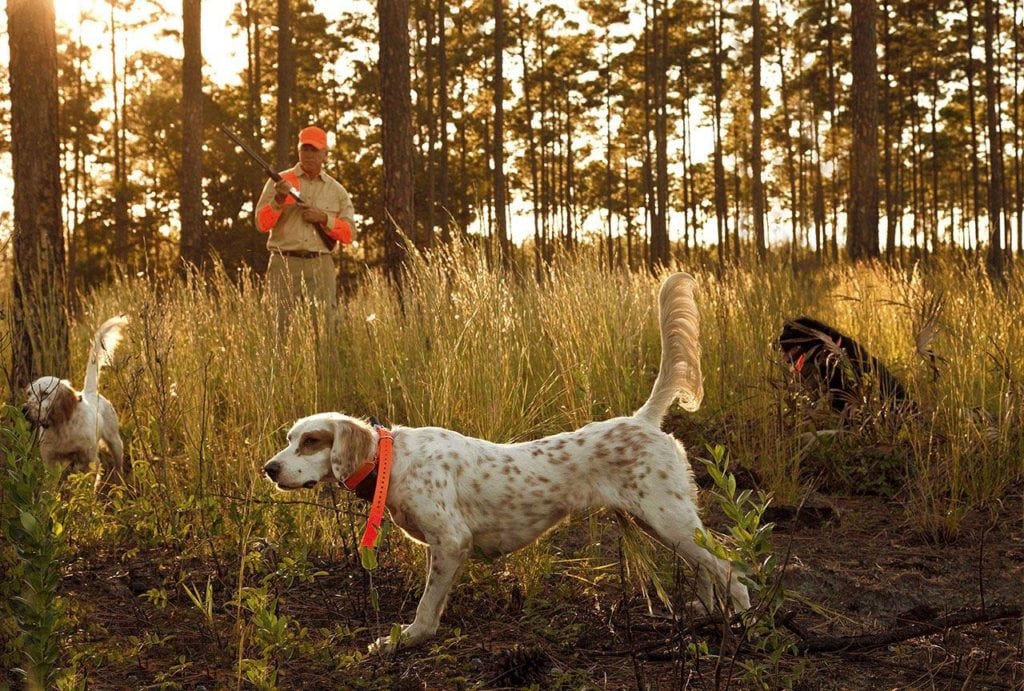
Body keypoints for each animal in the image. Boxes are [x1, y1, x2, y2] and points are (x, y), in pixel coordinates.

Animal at [23, 317, 128, 487]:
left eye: (44, 394)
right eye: (29, 394)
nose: (24, 409)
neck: (61, 427)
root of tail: (90, 392)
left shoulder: (90, 459)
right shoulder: (50, 461)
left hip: (115, 442)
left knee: (119, 466)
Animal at [260, 272, 749, 651]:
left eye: (311, 441)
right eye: (289, 439)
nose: (270, 469)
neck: (392, 461)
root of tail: (642, 418)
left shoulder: (451, 541)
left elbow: (426, 607)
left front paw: (406, 639)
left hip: (670, 518)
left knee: (732, 570)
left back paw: (744, 625)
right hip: (662, 523)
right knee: (707, 570)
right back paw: (704, 614)